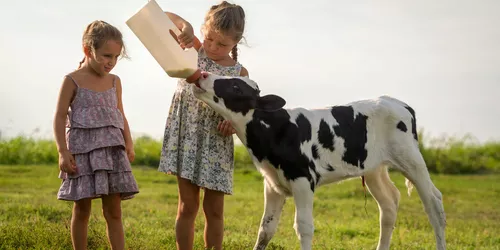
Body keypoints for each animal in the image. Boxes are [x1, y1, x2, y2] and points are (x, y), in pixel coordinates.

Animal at [193, 73, 448, 250]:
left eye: (236, 87)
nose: (203, 74)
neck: (275, 130)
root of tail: (396, 102)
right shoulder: (272, 184)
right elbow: (266, 228)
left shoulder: (303, 179)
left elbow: (303, 227)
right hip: (374, 168)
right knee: (389, 204)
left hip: (411, 159)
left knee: (434, 204)